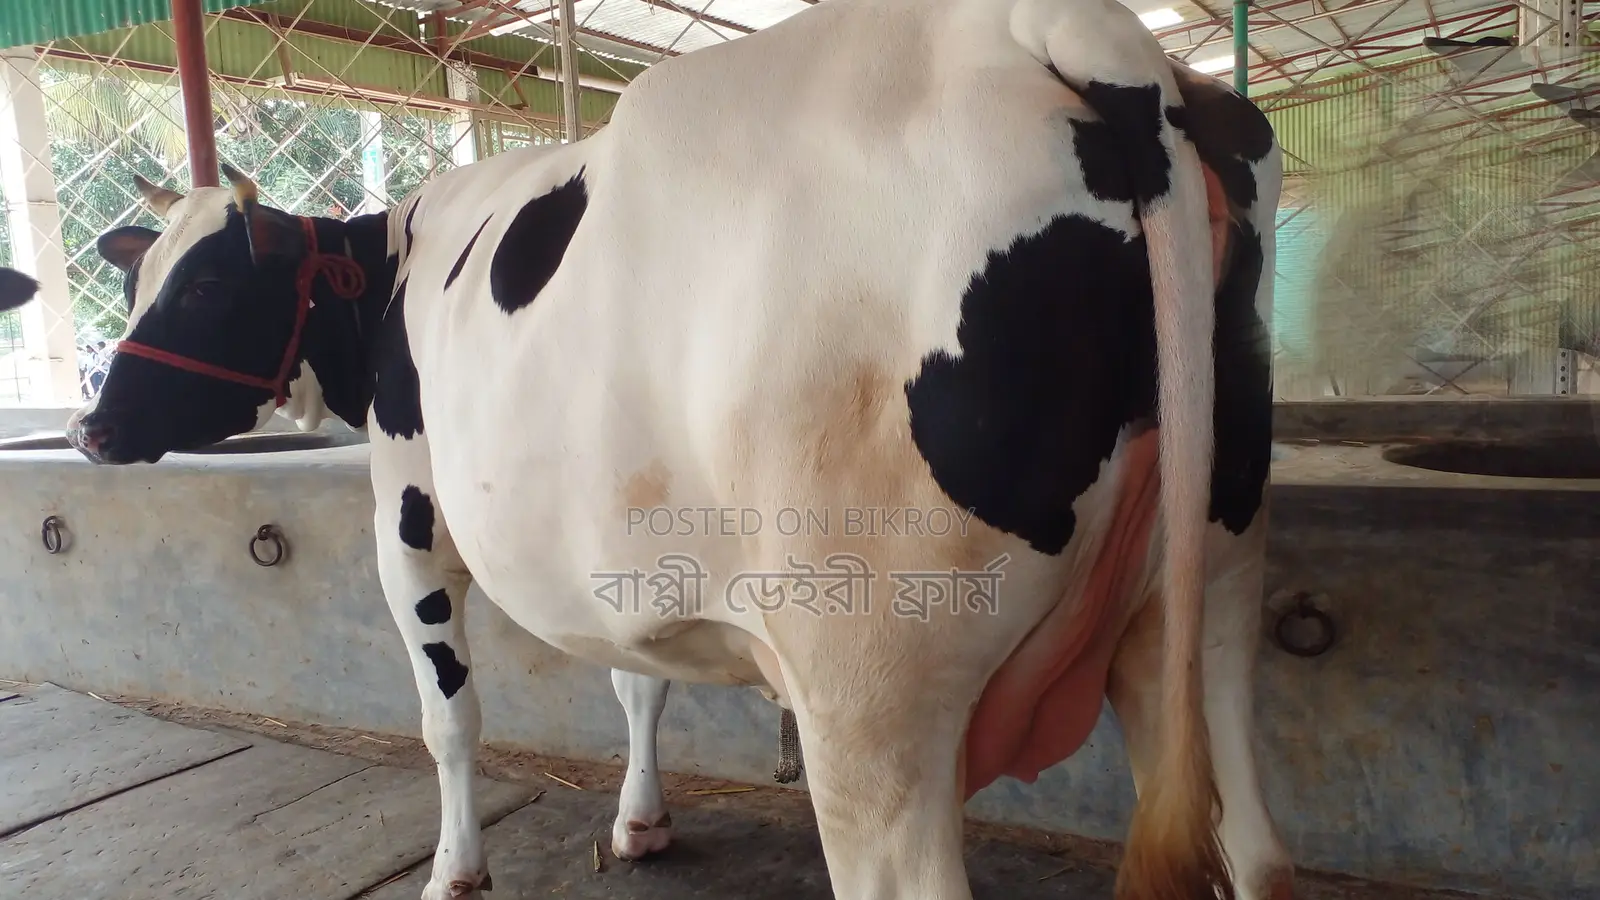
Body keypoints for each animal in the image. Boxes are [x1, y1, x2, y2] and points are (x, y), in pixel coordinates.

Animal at [9, 0, 1291, 896]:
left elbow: (449, 719)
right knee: (1258, 850)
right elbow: (638, 681)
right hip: (1209, 594)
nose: (90, 426)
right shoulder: (630, 542)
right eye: (141, 277)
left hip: (873, 678)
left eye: (207, 285)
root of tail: (1068, 34)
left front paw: (455, 870)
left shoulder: (407, 520)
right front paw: (639, 819)